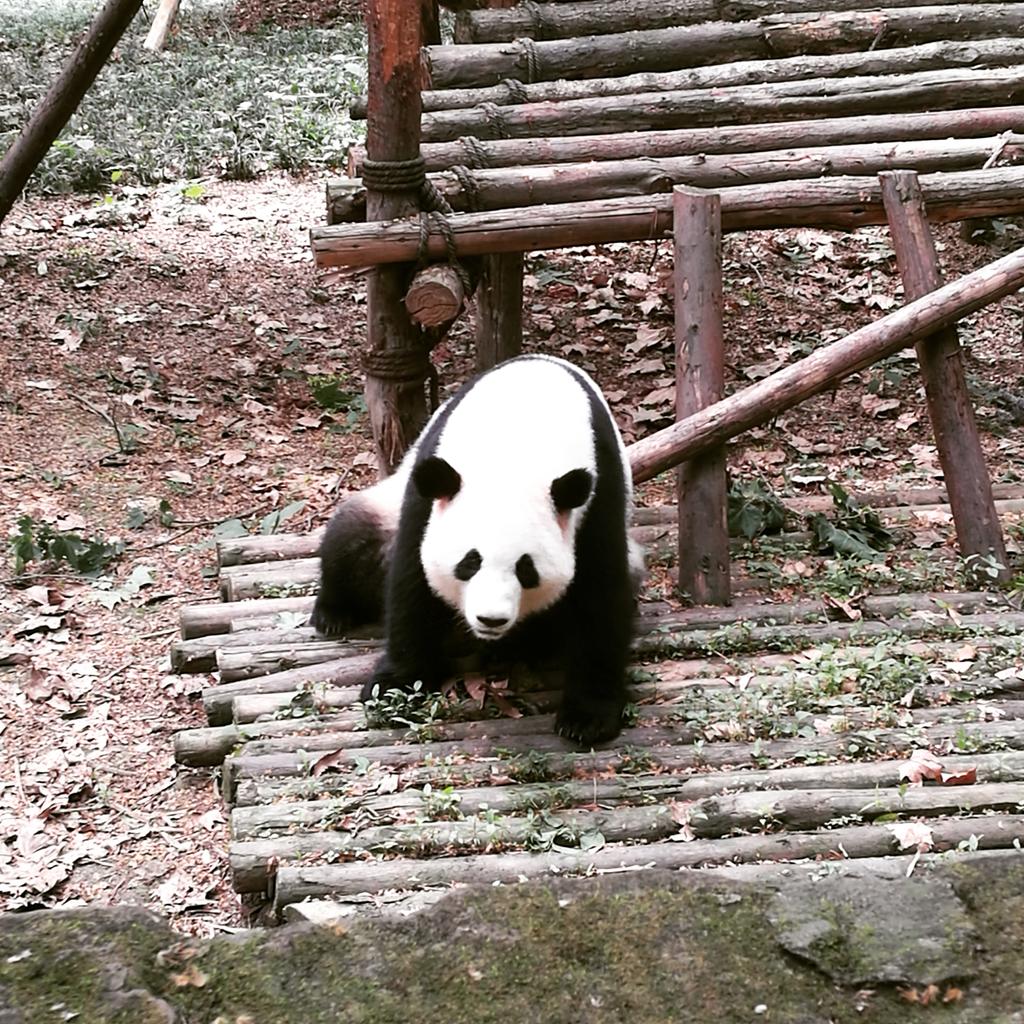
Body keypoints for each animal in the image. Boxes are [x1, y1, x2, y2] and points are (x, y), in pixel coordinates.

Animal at [310, 354, 642, 745]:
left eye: (526, 570)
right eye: (469, 562)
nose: (491, 619)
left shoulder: (597, 494)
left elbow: (600, 593)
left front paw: (587, 718)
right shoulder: (427, 494)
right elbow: (412, 581)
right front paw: (396, 685)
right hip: (383, 508)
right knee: (351, 538)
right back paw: (333, 613)